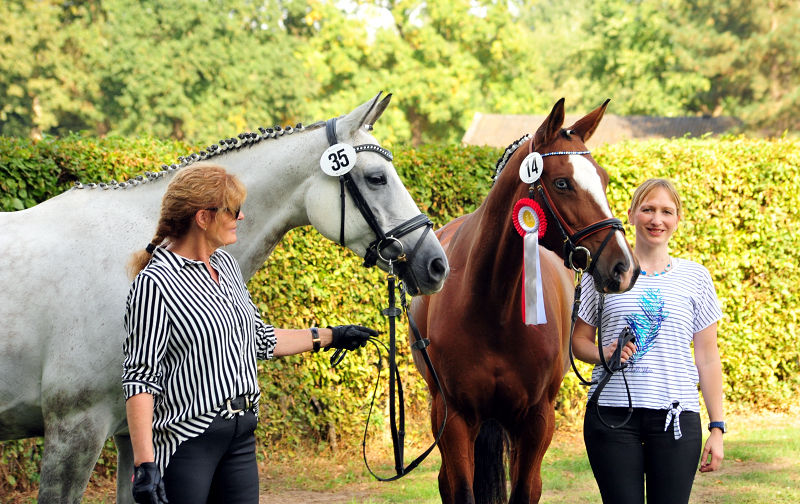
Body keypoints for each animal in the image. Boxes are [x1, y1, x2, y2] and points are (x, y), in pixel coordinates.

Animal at [410, 99, 640, 504]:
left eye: (605, 179)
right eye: (562, 183)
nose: (625, 267)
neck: (491, 308)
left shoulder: (536, 420)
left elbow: (524, 491)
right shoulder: (454, 418)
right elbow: (463, 491)